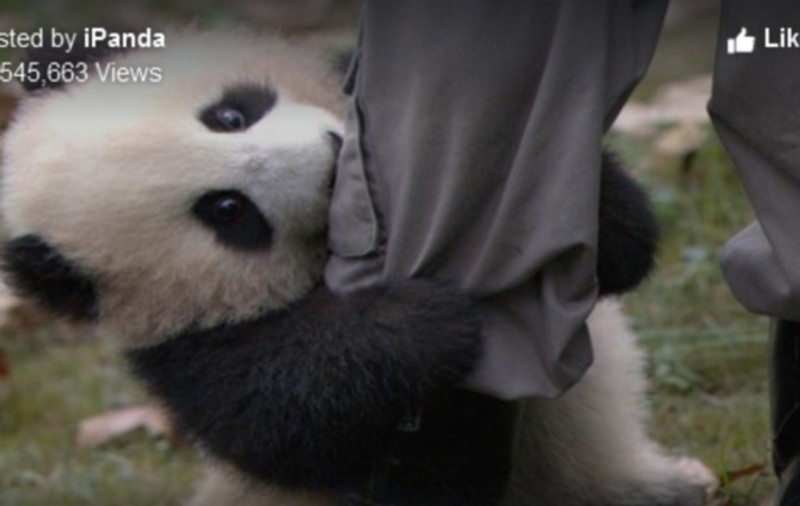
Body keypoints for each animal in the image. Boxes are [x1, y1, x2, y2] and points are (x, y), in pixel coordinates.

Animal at [0, 28, 717, 506]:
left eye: (229, 114)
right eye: (228, 211)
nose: (330, 159)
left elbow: (624, 247)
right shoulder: (197, 353)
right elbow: (299, 414)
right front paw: (426, 324)